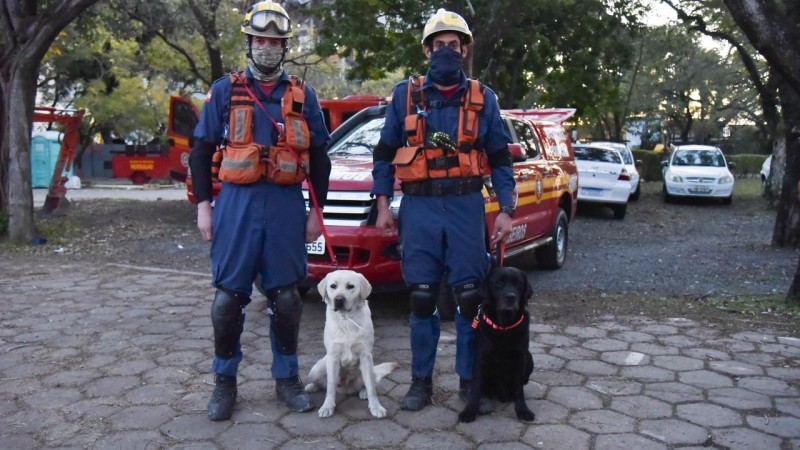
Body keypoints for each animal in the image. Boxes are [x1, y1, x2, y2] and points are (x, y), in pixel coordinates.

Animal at [460, 268, 536, 422]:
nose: (510, 297)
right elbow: (476, 387)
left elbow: (519, 388)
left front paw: (523, 410)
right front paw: (470, 411)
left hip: (529, 357)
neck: (503, 327)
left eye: (519, 283)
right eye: (498, 283)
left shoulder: (520, 357)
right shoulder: (480, 359)